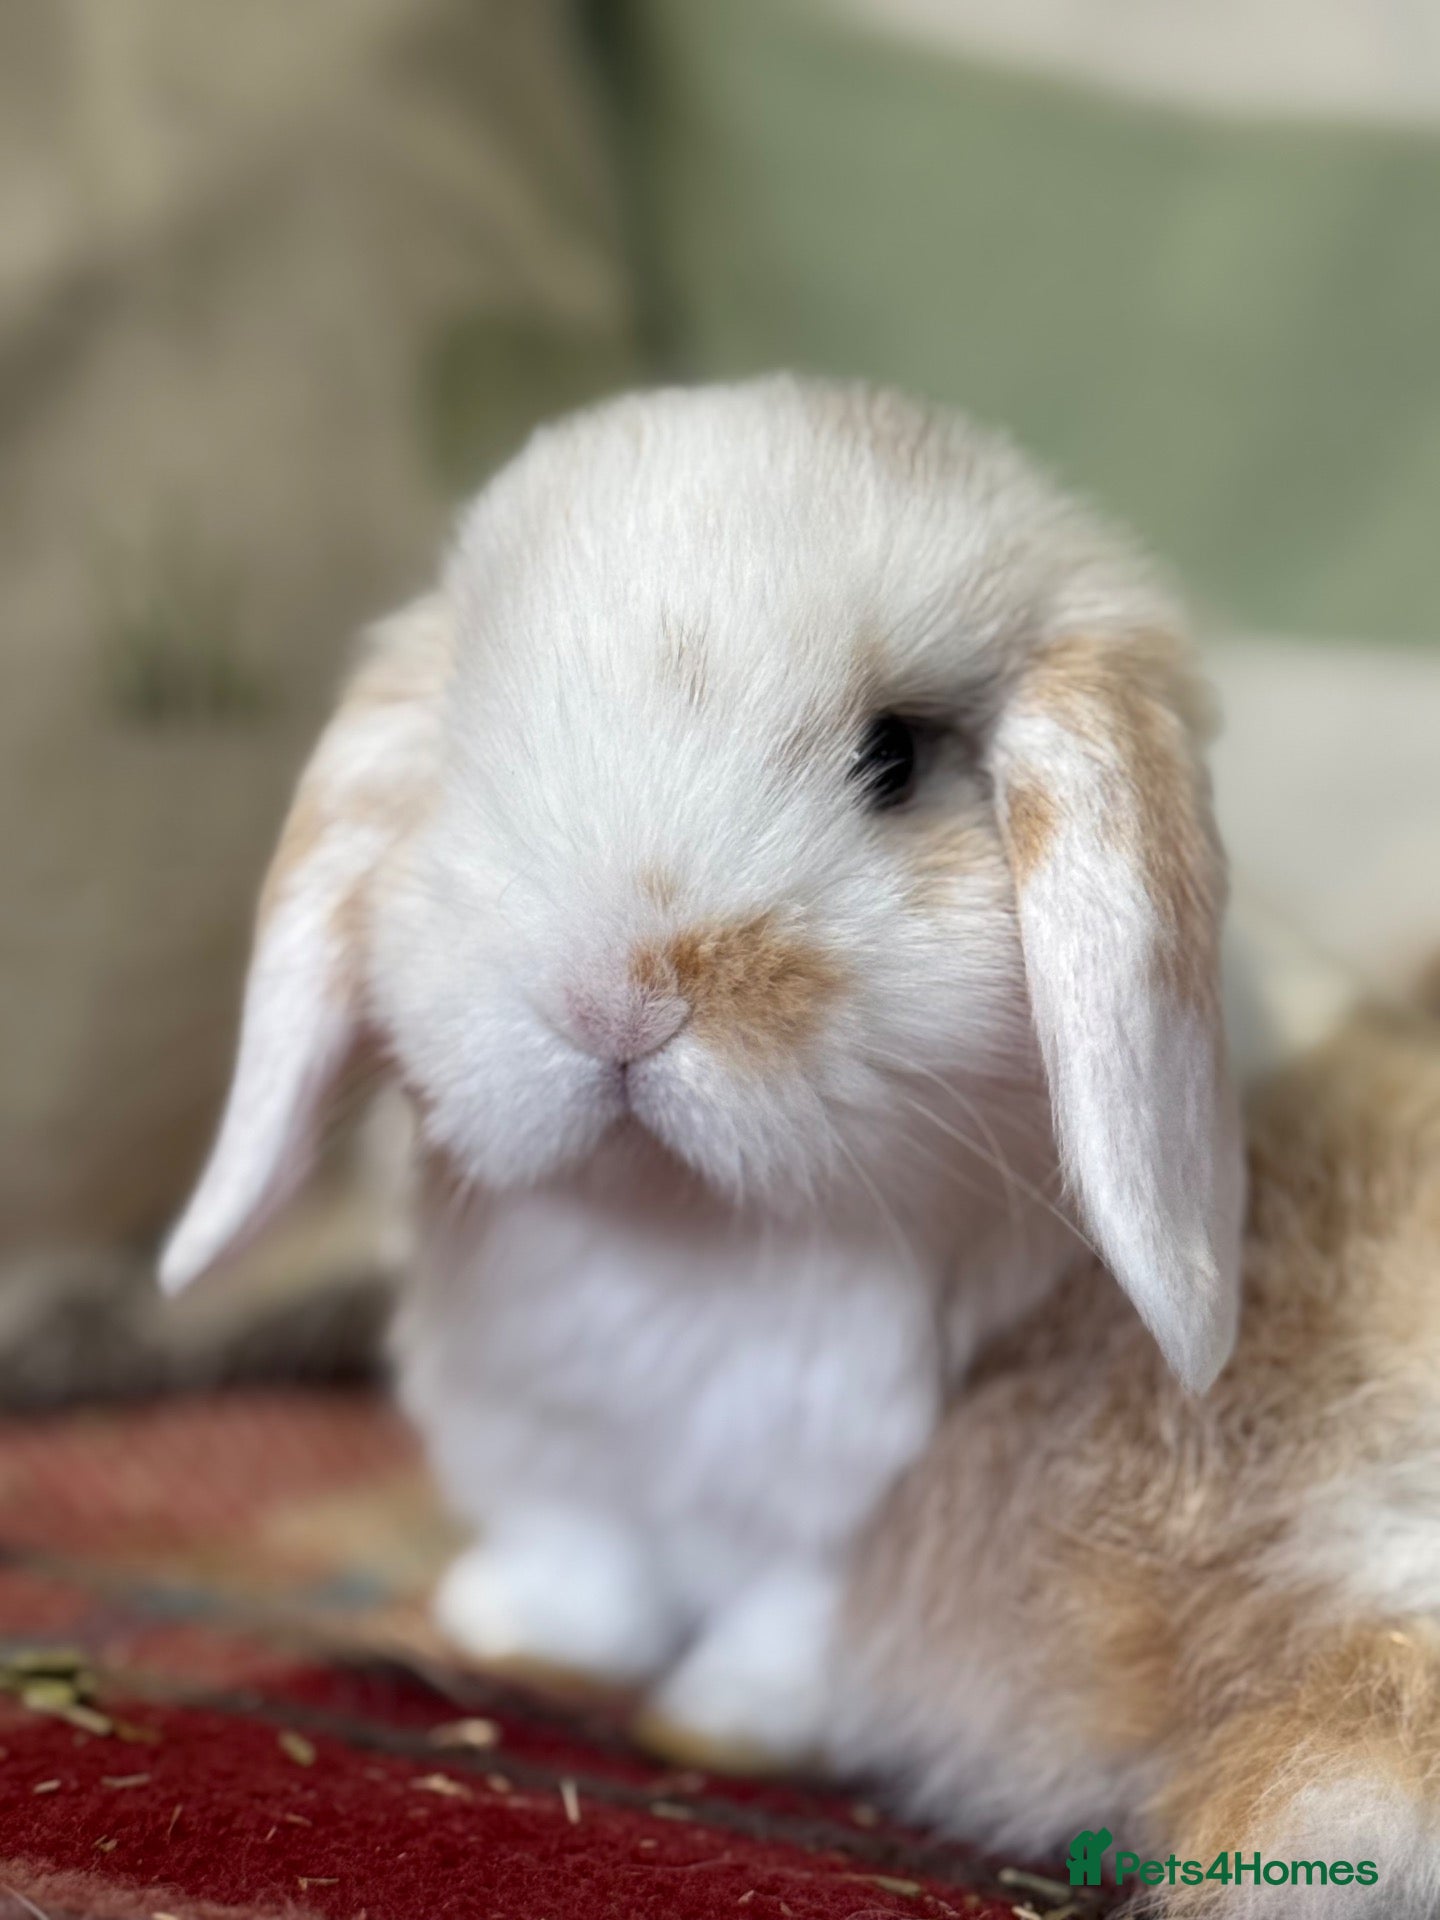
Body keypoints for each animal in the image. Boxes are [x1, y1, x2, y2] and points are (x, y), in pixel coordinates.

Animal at [159, 375, 1243, 1770]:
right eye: (468, 749)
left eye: (894, 758)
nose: (610, 998)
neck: (683, 1232)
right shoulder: (542, 1437)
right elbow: (579, 1554)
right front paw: (522, 1638)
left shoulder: (849, 1508)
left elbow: (793, 1622)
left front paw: (731, 1727)